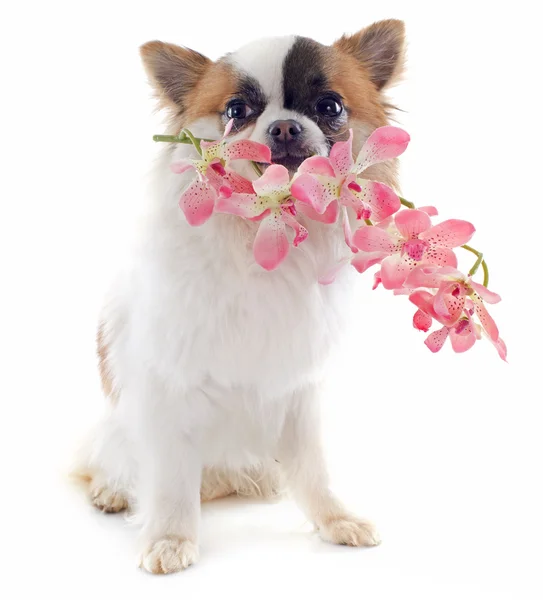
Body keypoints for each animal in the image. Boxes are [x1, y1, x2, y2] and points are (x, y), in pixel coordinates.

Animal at [75, 17, 408, 572]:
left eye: (330, 107)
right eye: (236, 112)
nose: (285, 127)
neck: (261, 237)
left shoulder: (299, 390)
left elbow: (314, 469)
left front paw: (334, 520)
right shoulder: (167, 388)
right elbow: (169, 478)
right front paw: (171, 537)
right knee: (113, 460)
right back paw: (113, 490)